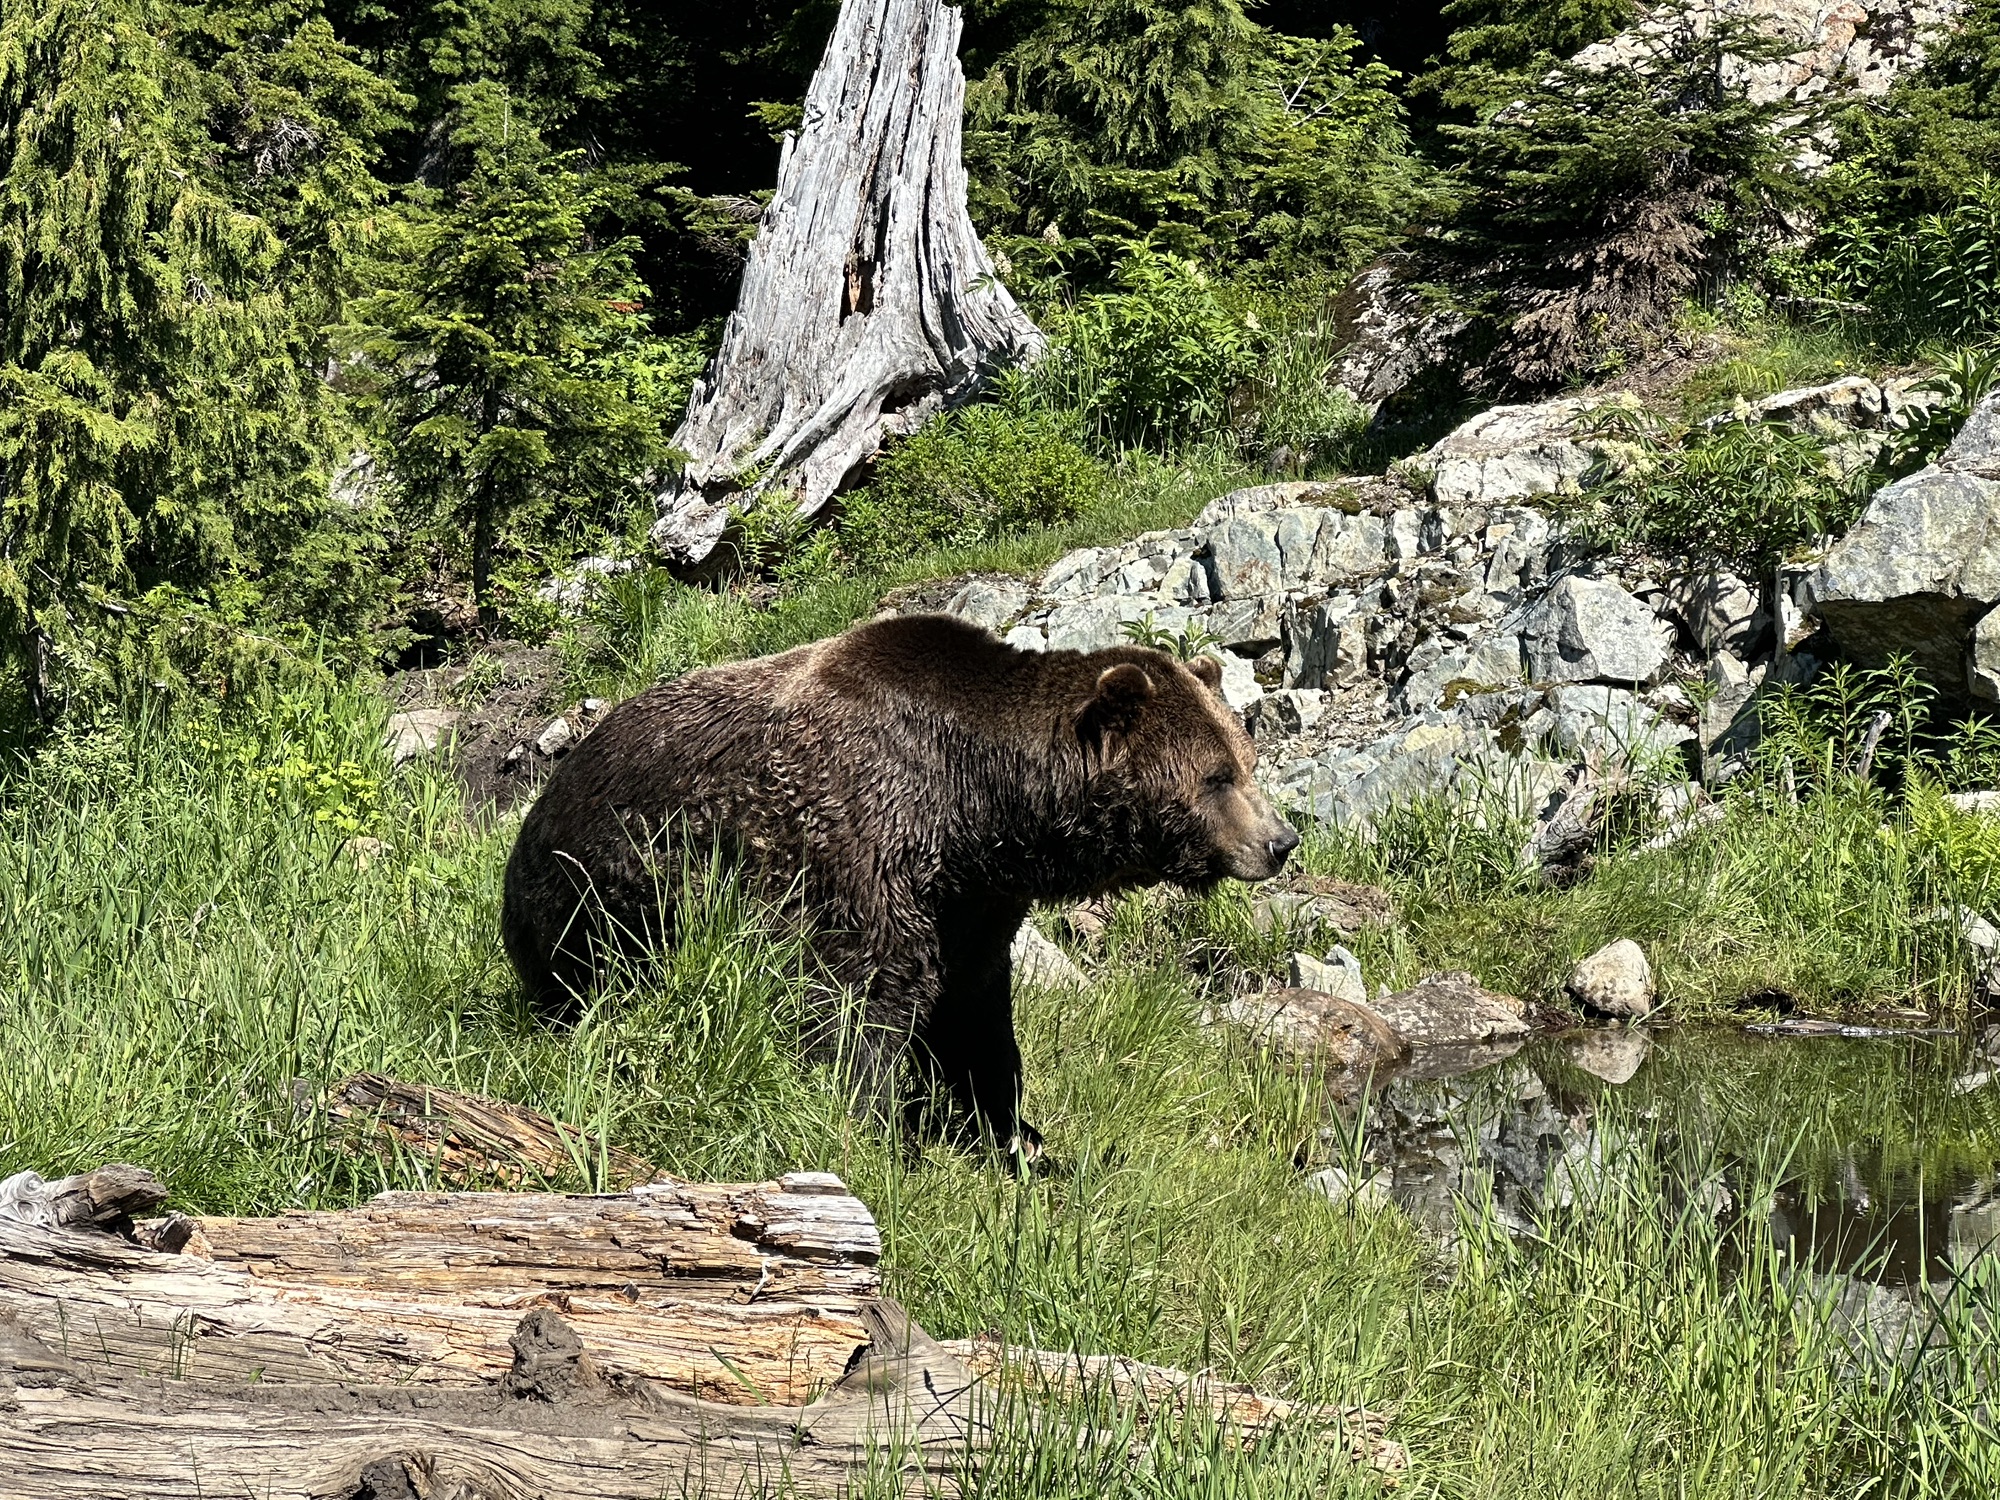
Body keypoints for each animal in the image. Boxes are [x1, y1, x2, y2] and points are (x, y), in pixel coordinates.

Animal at [504, 616, 1296, 1160]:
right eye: (1216, 776)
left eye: (1245, 758)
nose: (1280, 842)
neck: (976, 806)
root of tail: (545, 792)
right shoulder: (861, 837)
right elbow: (862, 994)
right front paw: (877, 1129)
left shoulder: (973, 901)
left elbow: (973, 1010)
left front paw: (1015, 1134)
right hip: (614, 882)